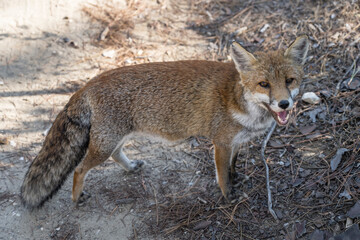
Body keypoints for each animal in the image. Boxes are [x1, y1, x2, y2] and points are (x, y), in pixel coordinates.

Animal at [19, 35, 308, 208]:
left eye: (289, 81)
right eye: (264, 84)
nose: (284, 104)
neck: (240, 102)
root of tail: (87, 84)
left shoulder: (235, 142)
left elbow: (233, 166)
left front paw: (236, 177)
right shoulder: (221, 143)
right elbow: (222, 176)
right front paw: (228, 196)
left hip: (117, 138)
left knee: (114, 155)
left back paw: (130, 167)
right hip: (105, 143)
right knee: (79, 169)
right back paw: (77, 197)